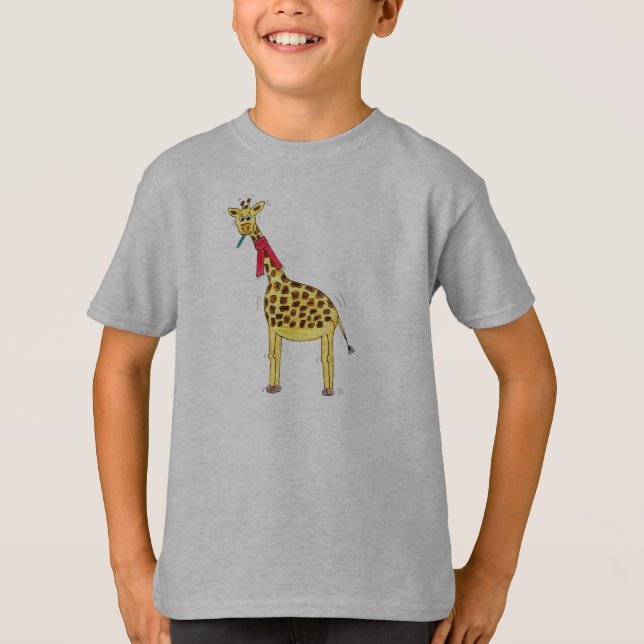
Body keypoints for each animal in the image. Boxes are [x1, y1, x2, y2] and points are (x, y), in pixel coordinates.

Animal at [228, 198, 355, 396]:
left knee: (326, 357)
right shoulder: (277, 329)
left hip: (327, 331)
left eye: (249, 216)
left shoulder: (271, 325)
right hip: (327, 333)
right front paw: (276, 387)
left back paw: (328, 391)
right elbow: (278, 354)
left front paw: (271, 388)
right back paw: (327, 390)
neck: (274, 279)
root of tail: (337, 314)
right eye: (239, 218)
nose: (245, 228)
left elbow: (272, 354)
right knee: (328, 356)